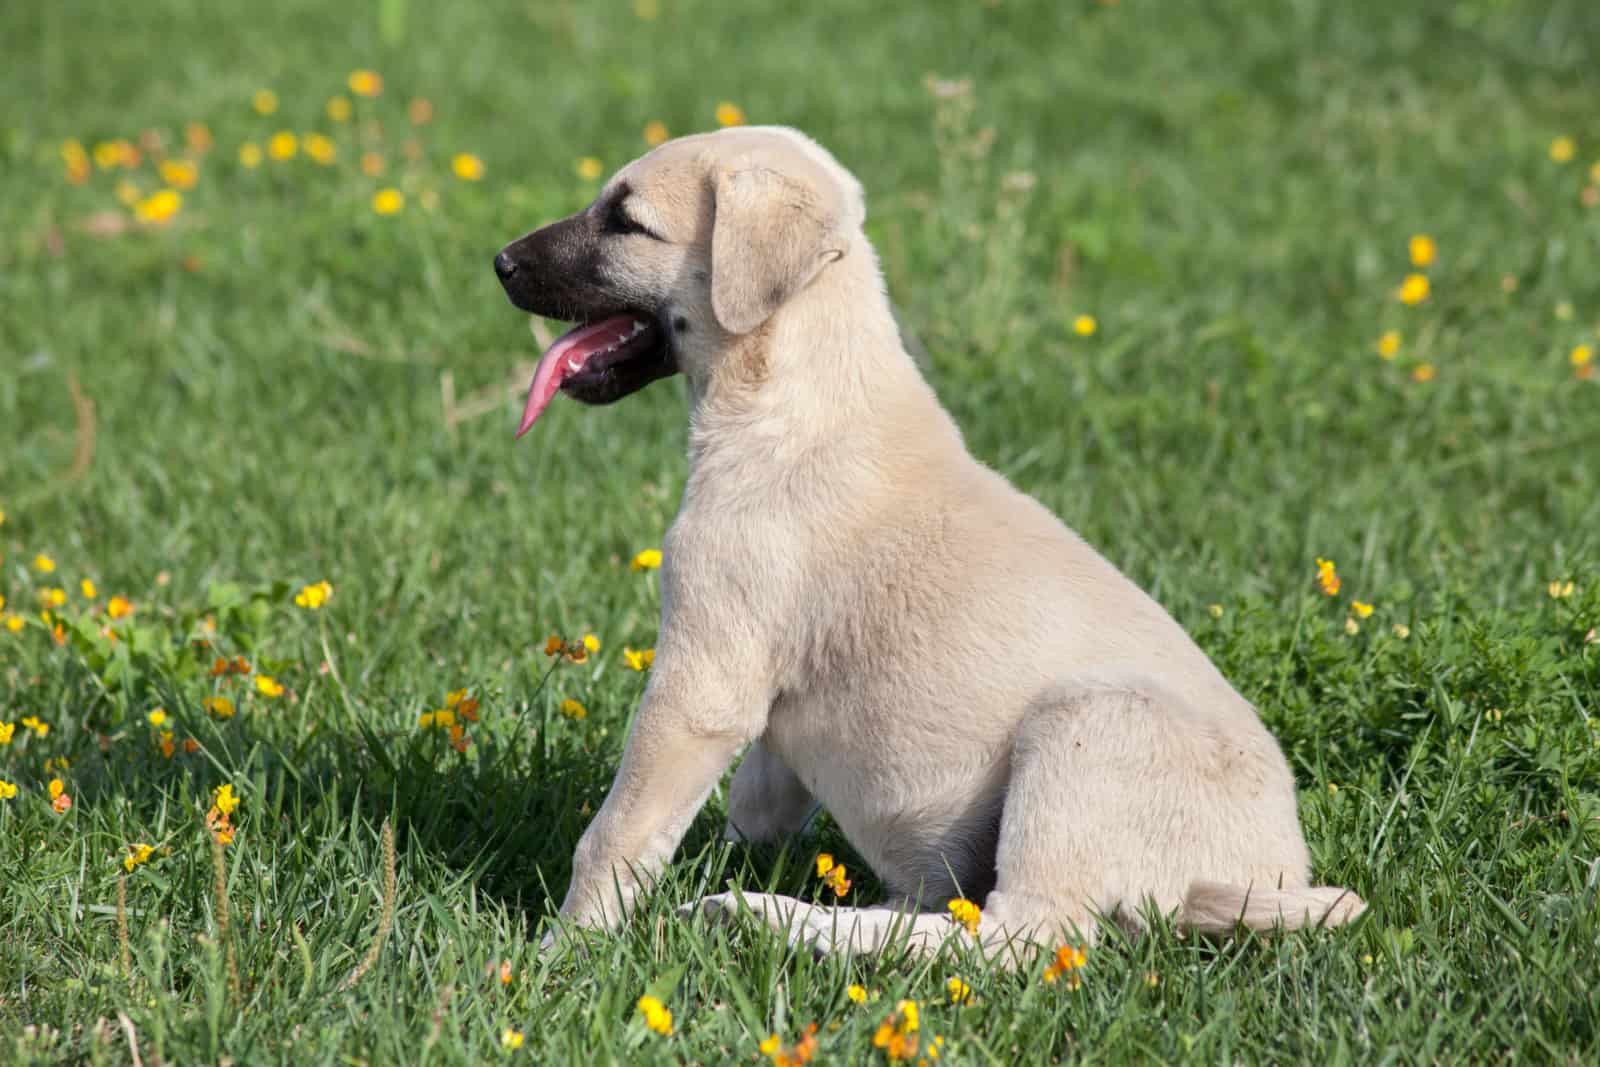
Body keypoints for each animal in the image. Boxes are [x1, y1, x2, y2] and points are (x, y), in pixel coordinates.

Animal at [489, 125, 1363, 959]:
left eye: (626, 221)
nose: (498, 263)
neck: (797, 395)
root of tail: (1262, 879)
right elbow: (757, 800)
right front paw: (723, 857)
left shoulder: (702, 680)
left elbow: (618, 830)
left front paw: (563, 950)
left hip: (1086, 728)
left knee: (1014, 937)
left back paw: (772, 919)